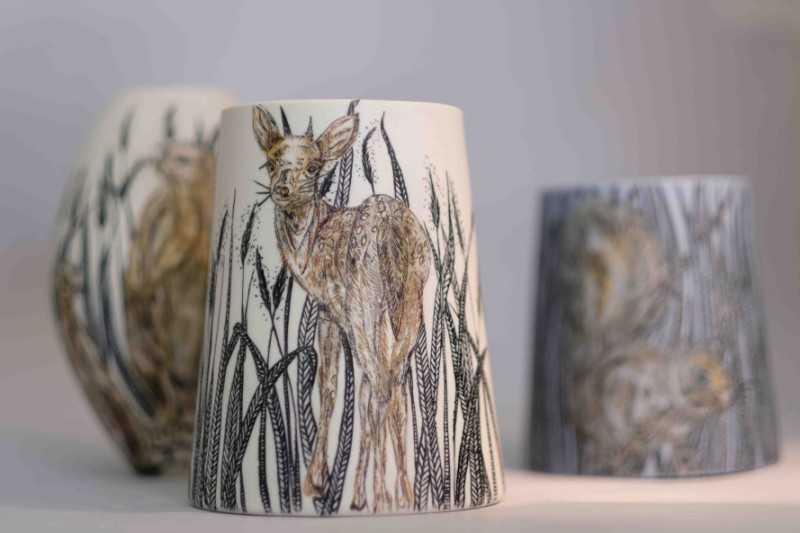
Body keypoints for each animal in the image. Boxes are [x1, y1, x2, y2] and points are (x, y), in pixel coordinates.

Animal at [252, 105, 431, 513]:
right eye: (271, 162)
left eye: (315, 166)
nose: (283, 189)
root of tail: (392, 231)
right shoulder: (352, 319)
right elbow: (363, 398)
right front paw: (359, 492)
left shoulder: (330, 311)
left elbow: (331, 387)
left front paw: (318, 481)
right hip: (408, 307)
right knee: (393, 384)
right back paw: (401, 494)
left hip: (368, 301)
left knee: (382, 386)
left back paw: (382, 496)